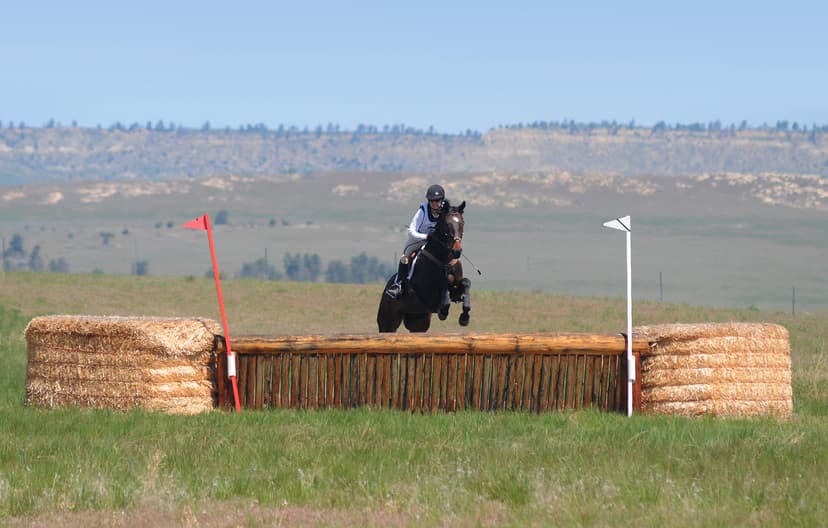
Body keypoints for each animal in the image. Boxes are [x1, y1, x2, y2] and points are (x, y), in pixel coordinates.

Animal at [377, 200, 471, 332]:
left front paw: (464, 317)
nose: (456, 251)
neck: (443, 260)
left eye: (462, 223)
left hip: (419, 321)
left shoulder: (456, 290)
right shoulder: (427, 293)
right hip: (388, 321)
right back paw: (395, 289)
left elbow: (466, 283)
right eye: (447, 224)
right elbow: (445, 284)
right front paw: (443, 311)